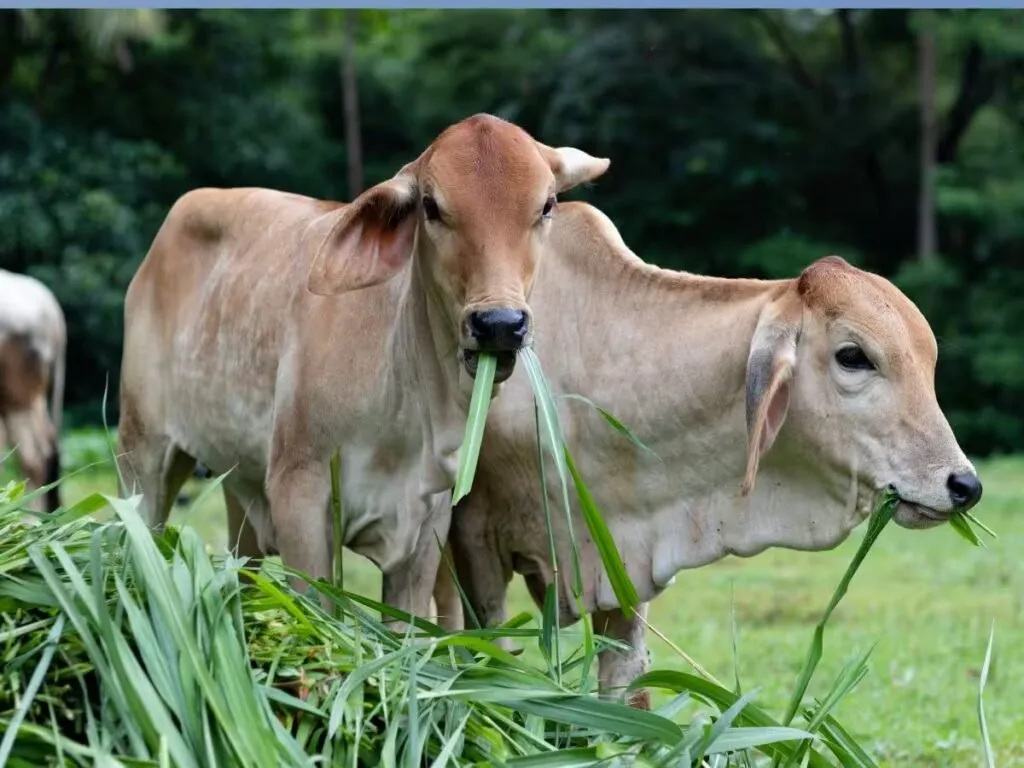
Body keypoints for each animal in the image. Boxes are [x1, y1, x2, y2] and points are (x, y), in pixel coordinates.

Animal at [116, 113, 610, 626]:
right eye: (431, 207)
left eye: (547, 205)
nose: (499, 323)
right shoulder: (299, 490)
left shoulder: (426, 524)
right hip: (142, 450)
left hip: (240, 485)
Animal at [440, 201, 984, 709]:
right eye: (853, 356)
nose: (965, 486)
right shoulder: (475, 538)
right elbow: (488, 655)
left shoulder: (623, 565)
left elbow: (627, 692)